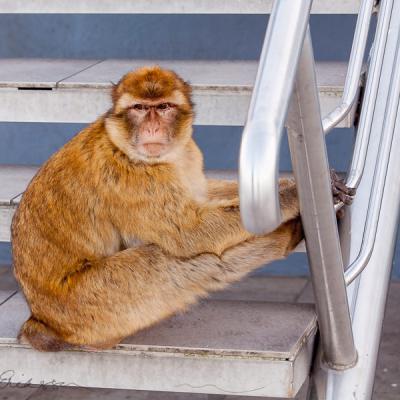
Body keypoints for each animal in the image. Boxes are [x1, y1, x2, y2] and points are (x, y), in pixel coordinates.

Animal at [10, 67, 354, 352]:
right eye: (139, 108)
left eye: (163, 107)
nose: (152, 128)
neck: (123, 145)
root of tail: (41, 319)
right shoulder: (129, 177)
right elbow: (191, 233)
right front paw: (295, 194)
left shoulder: (186, 154)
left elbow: (200, 194)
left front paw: (295, 184)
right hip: (90, 307)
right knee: (169, 258)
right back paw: (285, 238)